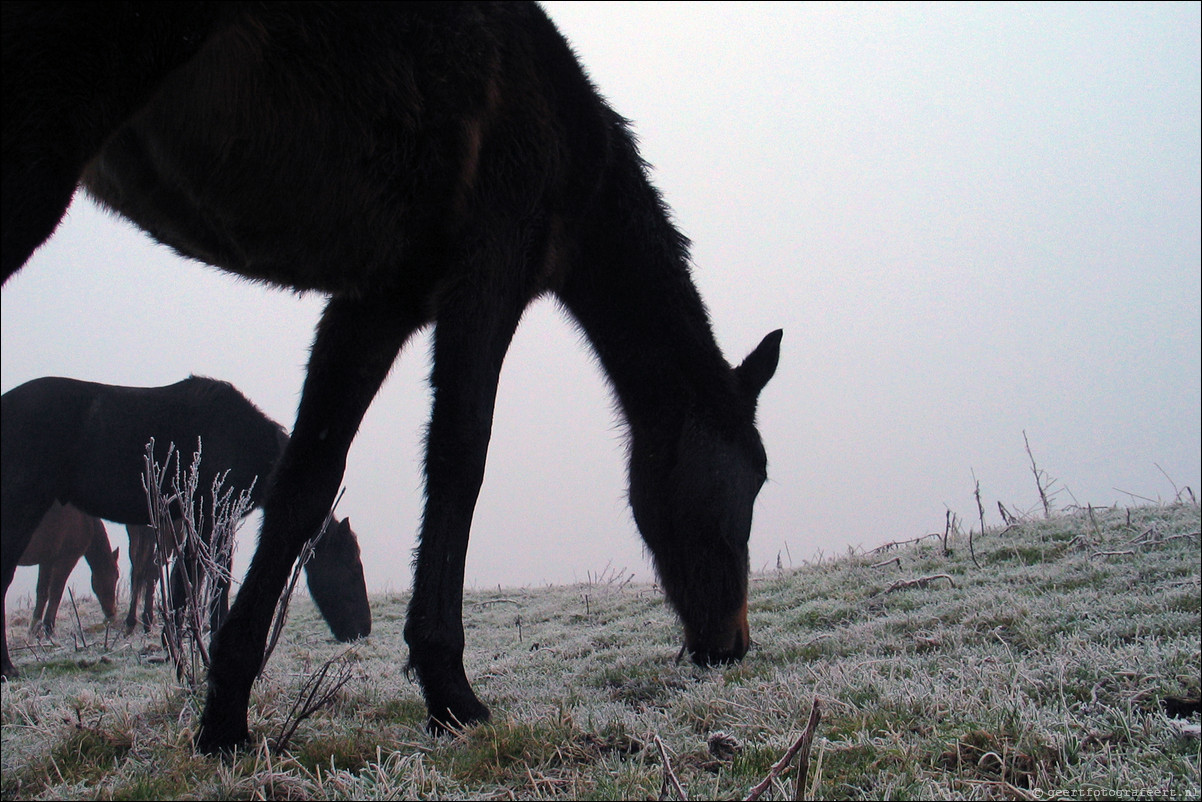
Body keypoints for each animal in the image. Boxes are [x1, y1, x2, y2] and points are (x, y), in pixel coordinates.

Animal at [17, 502, 118, 639]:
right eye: (115, 577)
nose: (112, 614)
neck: (85, 521)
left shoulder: (47, 561)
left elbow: (42, 592)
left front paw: (34, 629)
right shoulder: (67, 559)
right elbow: (56, 592)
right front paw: (49, 627)